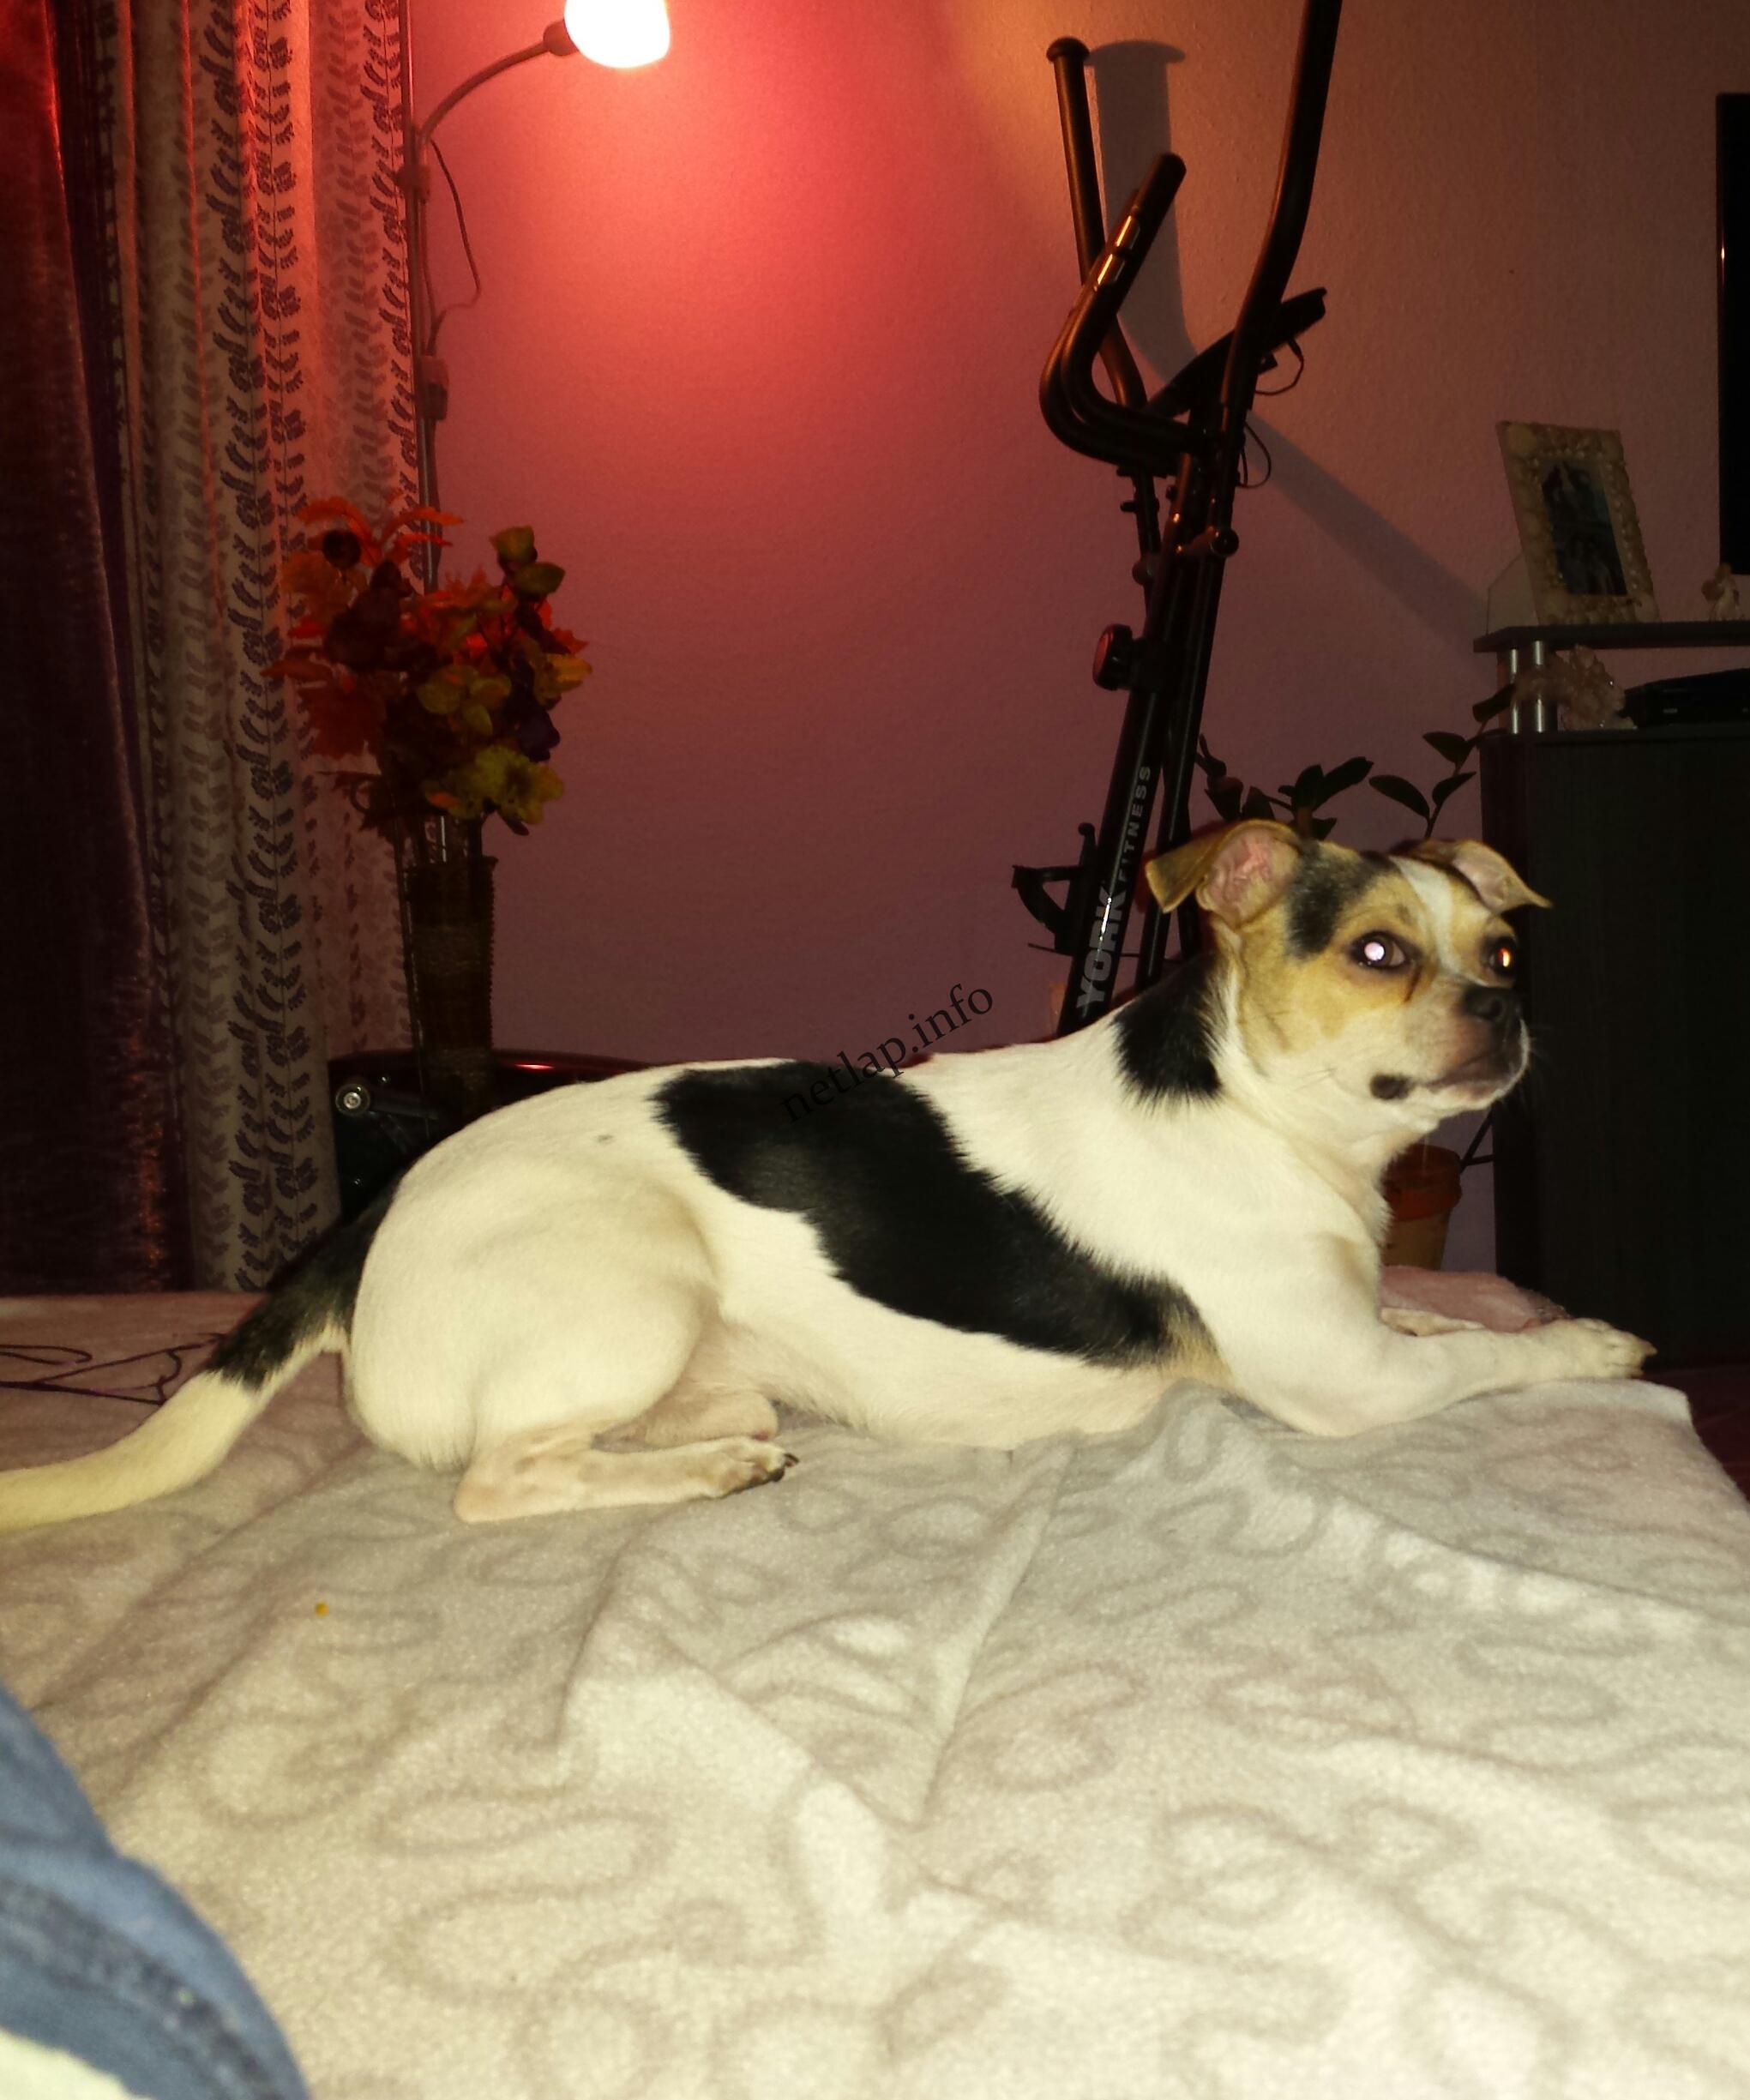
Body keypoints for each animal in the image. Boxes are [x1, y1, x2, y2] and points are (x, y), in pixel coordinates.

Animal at [0, 822, 1651, 1534]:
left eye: (1502, 951)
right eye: (1377, 951)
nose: (1506, 1010)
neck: (1251, 1106)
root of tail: (365, 1225)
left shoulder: (1360, 1322)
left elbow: (1441, 1319)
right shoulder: (1343, 1383)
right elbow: (1497, 1356)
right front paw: (1596, 1343)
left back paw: (724, 1435)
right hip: (633, 1287)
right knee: (495, 1482)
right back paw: (703, 1472)